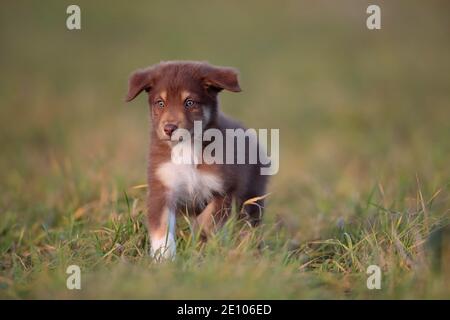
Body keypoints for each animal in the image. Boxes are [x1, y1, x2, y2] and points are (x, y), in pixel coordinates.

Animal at [125, 60, 268, 260]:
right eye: (160, 103)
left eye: (189, 102)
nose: (169, 128)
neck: (186, 149)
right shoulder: (162, 187)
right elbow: (161, 226)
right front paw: (164, 257)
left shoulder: (226, 189)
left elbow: (208, 220)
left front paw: (199, 239)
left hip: (252, 197)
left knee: (250, 225)